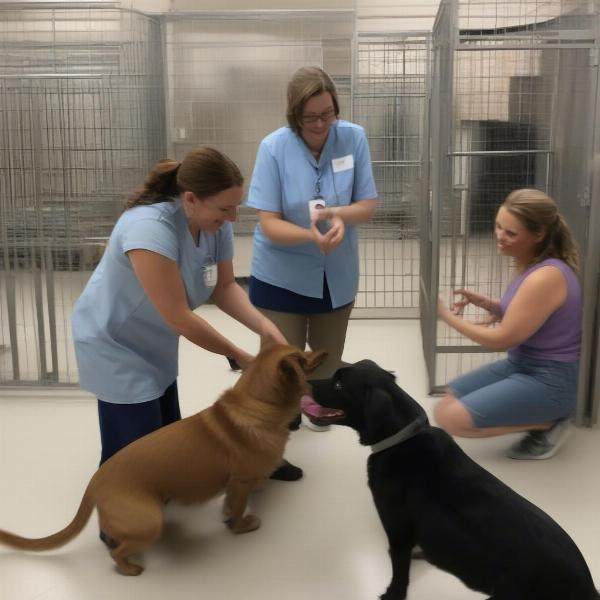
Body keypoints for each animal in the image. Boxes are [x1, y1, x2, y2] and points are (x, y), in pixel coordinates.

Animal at [0, 344, 324, 576]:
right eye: (302, 358)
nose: (324, 354)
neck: (258, 404)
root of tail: (94, 484)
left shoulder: (236, 485)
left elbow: (230, 505)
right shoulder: (241, 482)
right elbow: (237, 510)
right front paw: (242, 525)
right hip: (150, 523)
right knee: (115, 553)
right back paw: (129, 568)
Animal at [312, 360, 596, 600]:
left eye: (339, 384)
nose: (309, 381)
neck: (403, 437)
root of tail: (588, 587)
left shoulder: (397, 530)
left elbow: (399, 572)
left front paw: (392, 594)